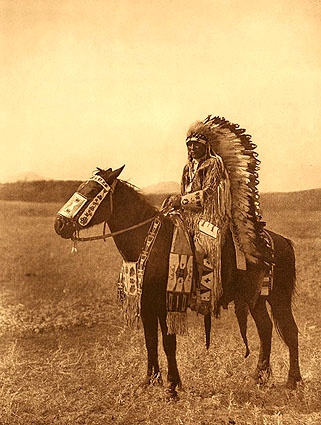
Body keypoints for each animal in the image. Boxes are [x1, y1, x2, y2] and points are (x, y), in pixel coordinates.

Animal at [53, 166, 302, 398]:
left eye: (92, 191)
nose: (59, 224)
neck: (149, 242)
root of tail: (282, 241)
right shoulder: (147, 305)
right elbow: (150, 342)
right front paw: (150, 381)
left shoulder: (166, 305)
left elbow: (168, 343)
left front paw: (172, 387)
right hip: (256, 298)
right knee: (265, 329)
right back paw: (260, 376)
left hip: (278, 298)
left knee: (290, 331)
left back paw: (293, 380)